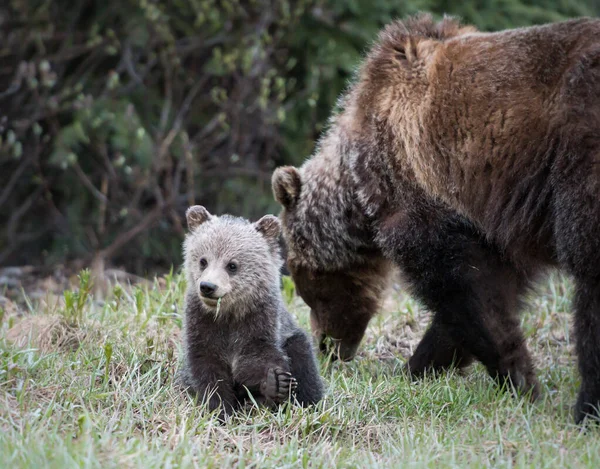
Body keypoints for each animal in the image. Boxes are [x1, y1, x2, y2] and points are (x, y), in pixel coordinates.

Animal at [270, 14, 600, 422]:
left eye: (306, 282)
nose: (327, 346)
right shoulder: (497, 220)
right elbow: (487, 292)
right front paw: (423, 365)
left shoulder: (424, 191)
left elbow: (461, 287)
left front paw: (517, 376)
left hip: (579, 154)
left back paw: (587, 406)